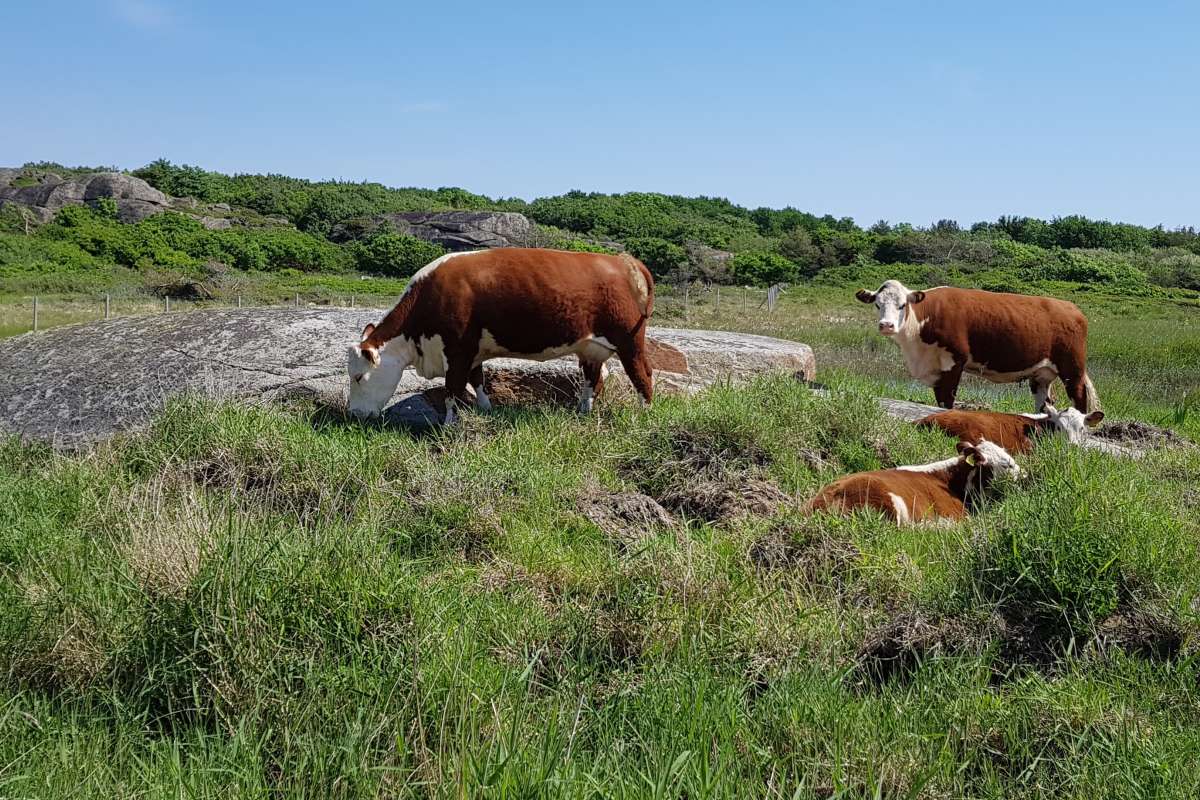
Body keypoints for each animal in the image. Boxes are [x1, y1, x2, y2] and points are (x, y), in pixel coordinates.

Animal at [343, 247, 662, 422]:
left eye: (358, 377)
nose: (353, 414)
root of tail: (623, 261)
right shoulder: (472, 352)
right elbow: (478, 381)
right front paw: (487, 410)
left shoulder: (457, 350)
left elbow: (452, 389)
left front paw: (448, 426)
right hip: (590, 347)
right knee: (592, 378)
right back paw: (583, 412)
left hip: (629, 340)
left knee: (642, 374)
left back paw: (644, 414)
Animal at [859, 278, 1099, 412]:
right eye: (877, 305)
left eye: (902, 305)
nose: (886, 325)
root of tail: (1070, 307)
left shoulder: (954, 361)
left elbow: (946, 401)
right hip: (1041, 373)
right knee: (1043, 402)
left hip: (1072, 369)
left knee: (1079, 398)